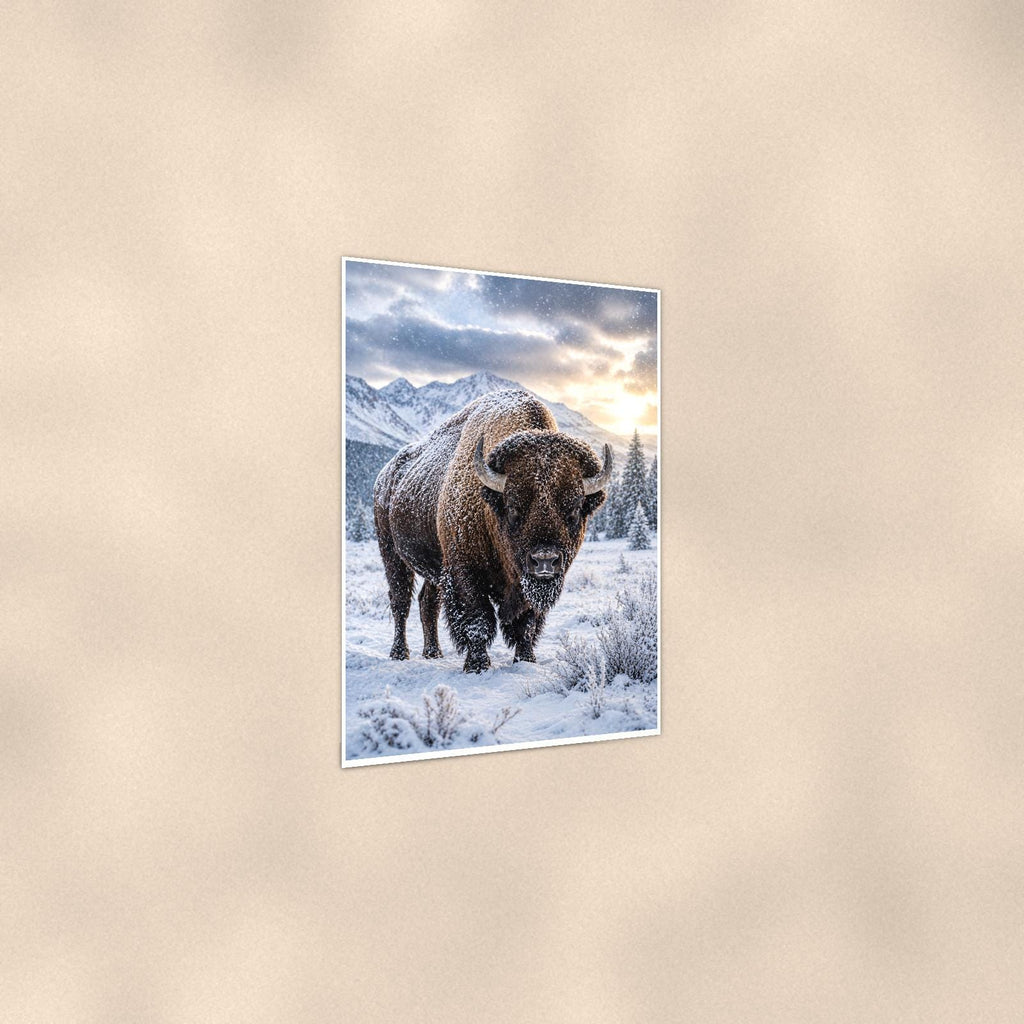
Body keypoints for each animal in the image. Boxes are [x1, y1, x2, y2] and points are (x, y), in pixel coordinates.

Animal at [373, 389, 612, 672]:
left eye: (574, 509)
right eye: (512, 506)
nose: (544, 561)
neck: (490, 505)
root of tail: (385, 476)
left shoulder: (523, 585)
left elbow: (526, 625)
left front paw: (526, 659)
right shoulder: (465, 572)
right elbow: (478, 621)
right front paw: (477, 665)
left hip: (435, 568)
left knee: (427, 603)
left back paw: (433, 653)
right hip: (391, 553)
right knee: (400, 602)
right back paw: (399, 653)